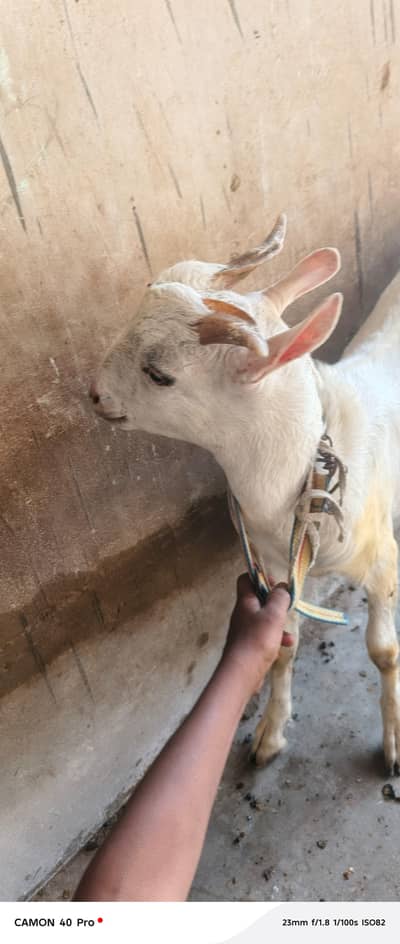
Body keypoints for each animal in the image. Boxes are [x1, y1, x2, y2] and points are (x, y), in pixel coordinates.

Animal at [90, 216, 400, 775]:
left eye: (159, 374)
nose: (94, 394)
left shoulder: (382, 558)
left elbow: (384, 652)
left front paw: (393, 744)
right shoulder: (275, 569)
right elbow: (282, 645)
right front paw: (270, 734)